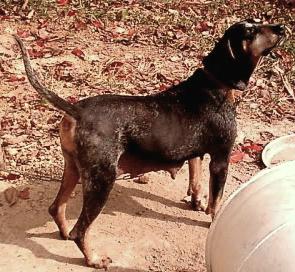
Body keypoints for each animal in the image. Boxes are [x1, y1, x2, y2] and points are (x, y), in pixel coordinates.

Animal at [13, 20, 284, 268]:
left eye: (258, 22)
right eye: (250, 31)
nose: (281, 28)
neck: (216, 82)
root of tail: (76, 111)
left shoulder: (195, 154)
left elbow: (196, 182)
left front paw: (196, 202)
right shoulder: (221, 159)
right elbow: (216, 202)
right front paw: (211, 217)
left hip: (73, 169)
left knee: (57, 208)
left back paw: (63, 233)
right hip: (102, 180)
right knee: (80, 231)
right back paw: (94, 259)